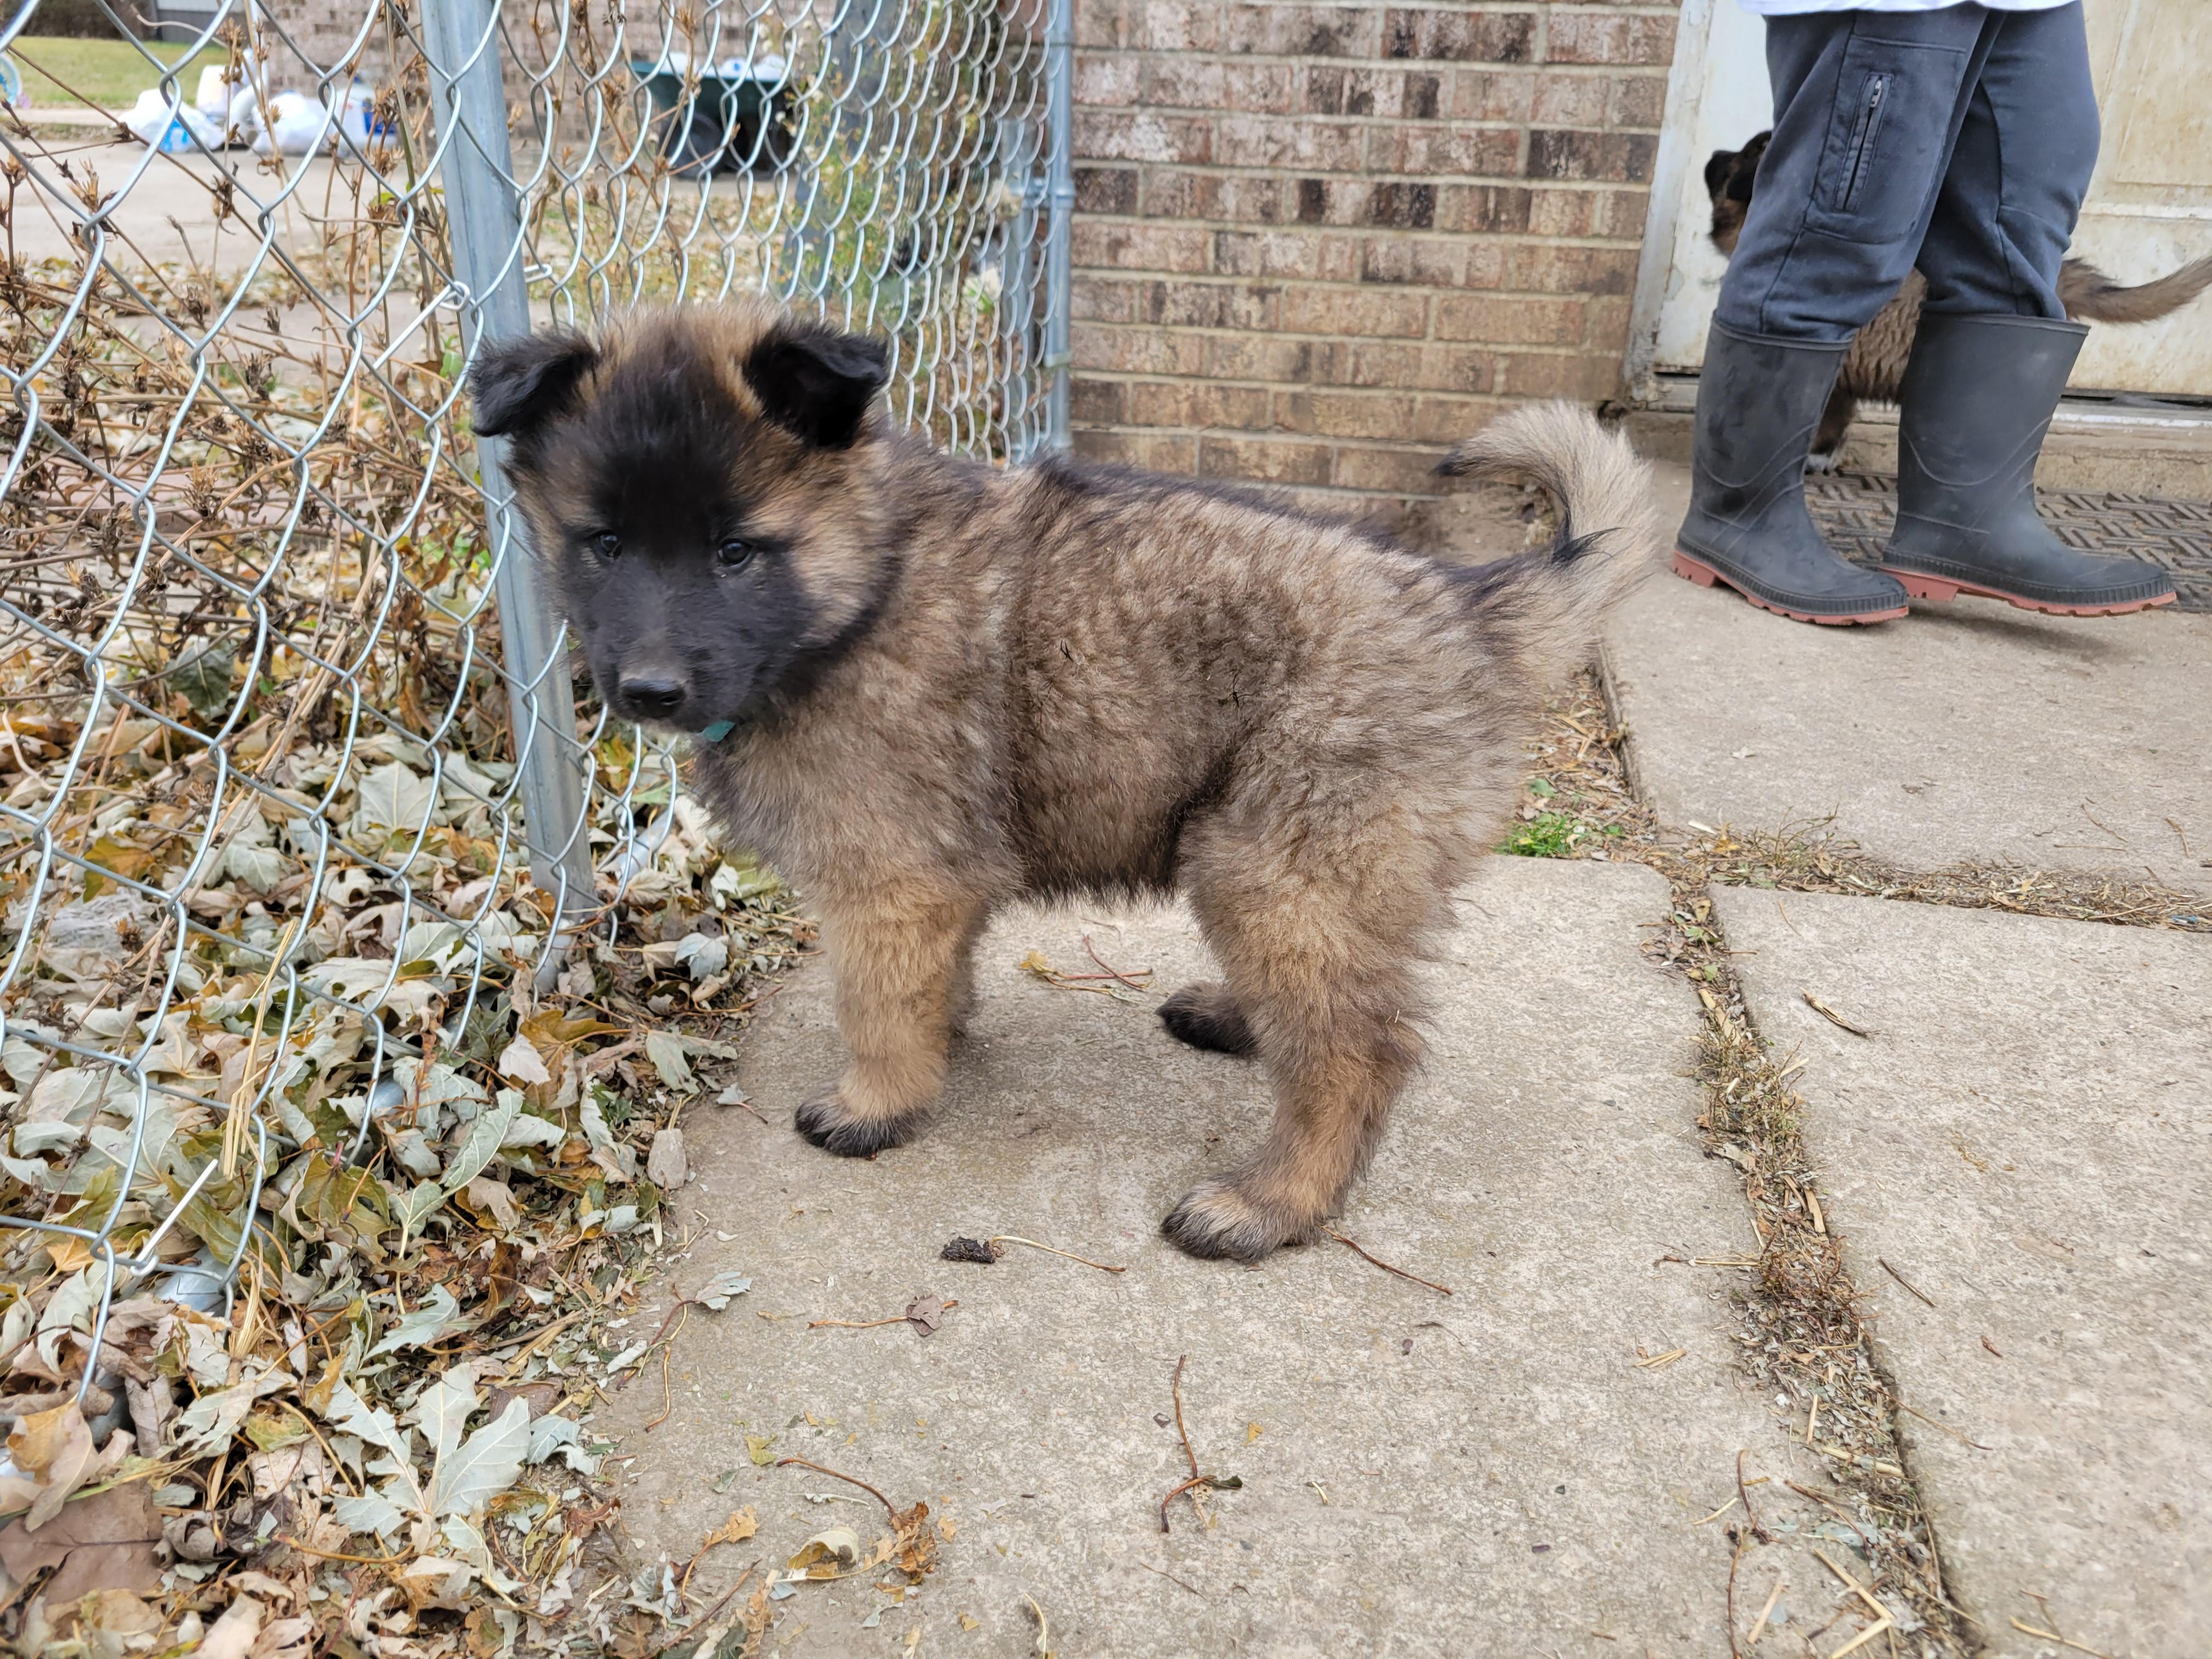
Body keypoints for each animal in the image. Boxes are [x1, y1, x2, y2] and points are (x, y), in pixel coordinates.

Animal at [471, 300, 1657, 1261]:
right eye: (604, 544)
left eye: (735, 552)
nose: (649, 688)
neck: (864, 590)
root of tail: (1471, 610)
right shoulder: (935, 878)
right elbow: (926, 981)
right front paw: (941, 1043)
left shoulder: (889, 874)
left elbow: (872, 1000)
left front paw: (876, 1102)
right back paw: (1235, 1020)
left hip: (1278, 857)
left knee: (1355, 1054)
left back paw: (1267, 1205)